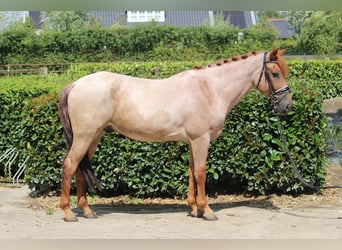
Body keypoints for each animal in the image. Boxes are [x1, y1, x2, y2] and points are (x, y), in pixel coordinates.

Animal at [58, 47, 292, 222]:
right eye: (275, 73)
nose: (286, 106)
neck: (210, 89)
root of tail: (75, 84)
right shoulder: (201, 139)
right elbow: (201, 173)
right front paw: (207, 211)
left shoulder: (192, 141)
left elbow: (191, 172)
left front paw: (194, 209)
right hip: (85, 136)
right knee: (70, 164)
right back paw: (68, 212)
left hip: (94, 136)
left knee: (80, 167)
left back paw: (87, 211)